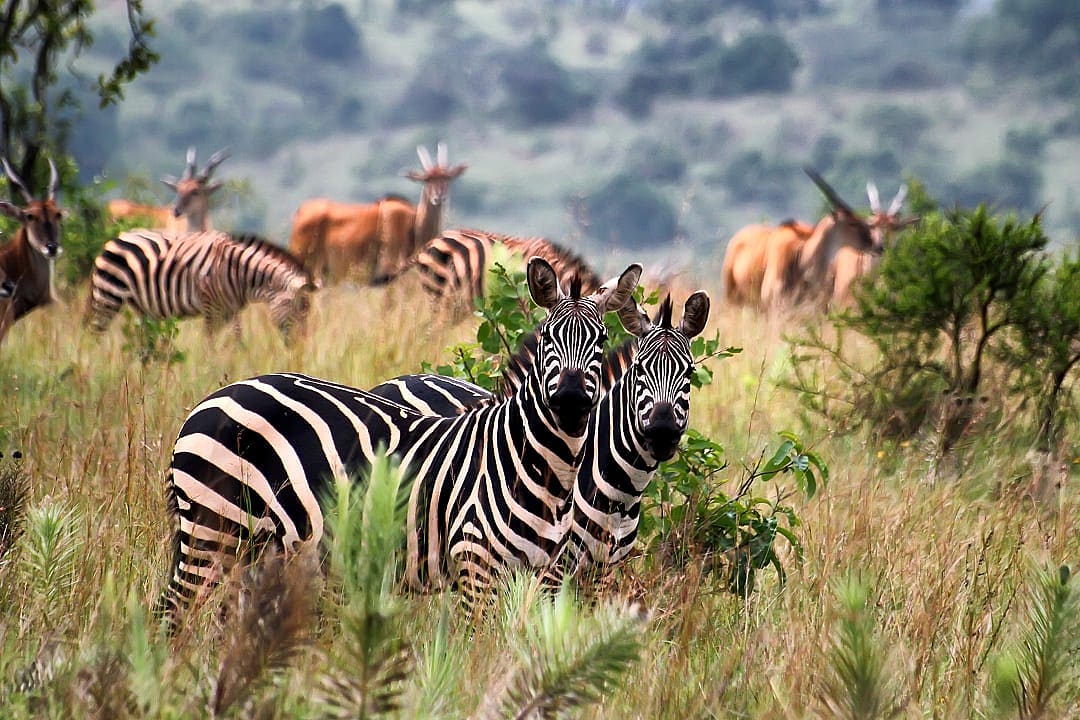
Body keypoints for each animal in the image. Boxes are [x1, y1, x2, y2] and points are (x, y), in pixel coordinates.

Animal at [86, 229, 317, 339]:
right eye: (300, 310)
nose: (300, 347)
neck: (239, 272)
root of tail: (117, 237)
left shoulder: (231, 310)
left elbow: (237, 339)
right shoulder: (211, 307)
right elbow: (210, 343)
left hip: (141, 306)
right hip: (108, 296)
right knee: (96, 334)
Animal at [157, 258, 642, 621]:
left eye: (601, 340)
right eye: (546, 338)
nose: (571, 400)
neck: (540, 468)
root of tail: (212, 398)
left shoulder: (542, 578)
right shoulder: (476, 568)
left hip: (254, 547)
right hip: (213, 526)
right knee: (174, 612)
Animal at [369, 291, 711, 579]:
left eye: (690, 373)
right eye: (639, 370)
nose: (663, 432)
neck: (621, 492)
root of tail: (394, 381)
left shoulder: (602, 572)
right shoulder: (553, 567)